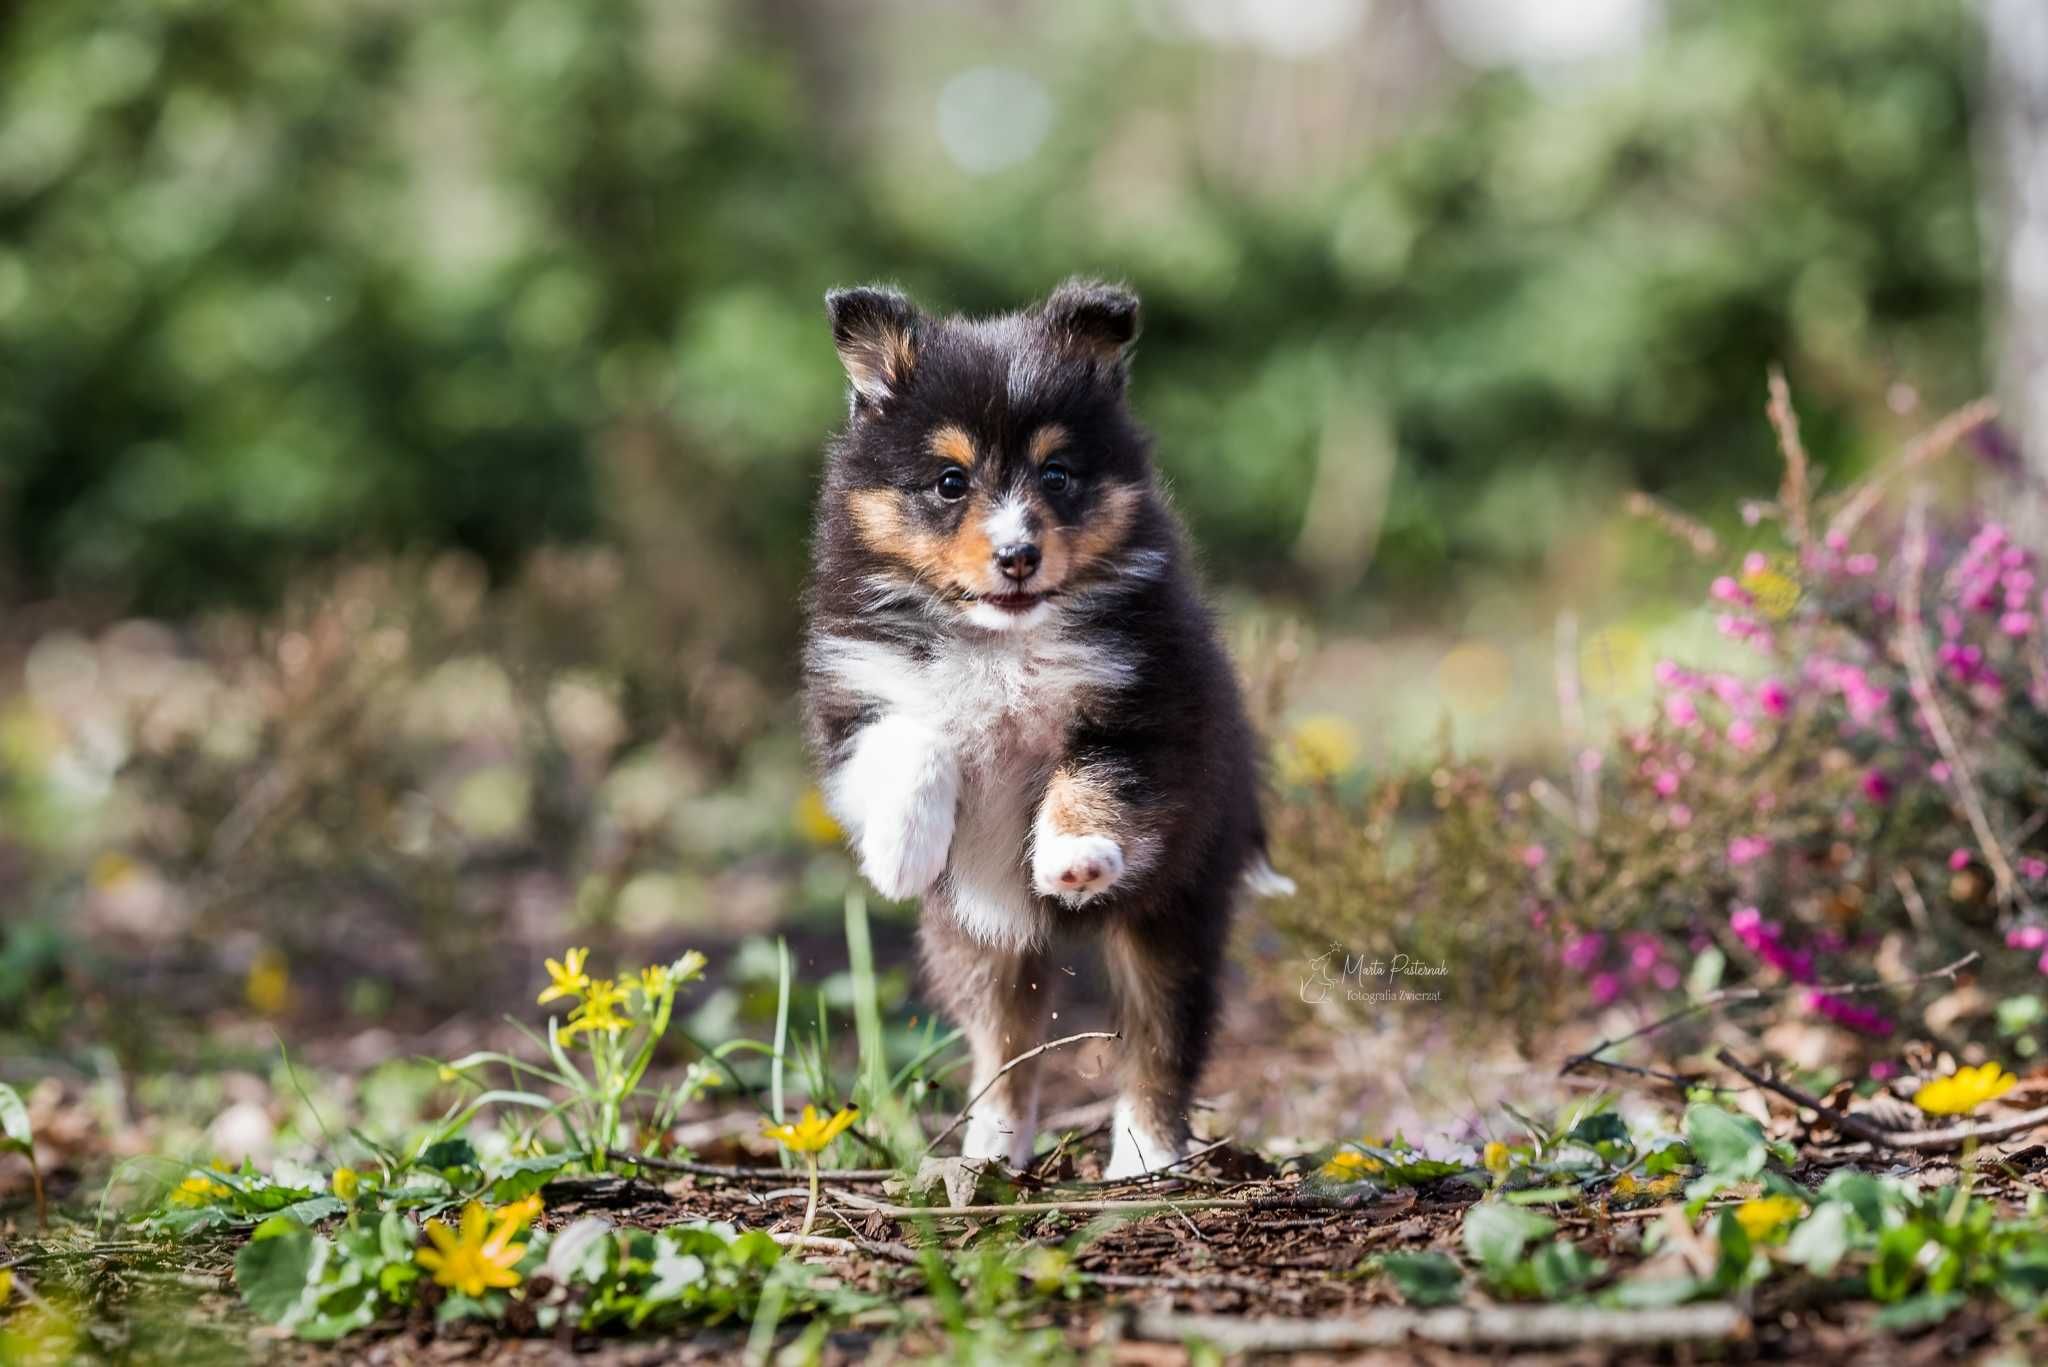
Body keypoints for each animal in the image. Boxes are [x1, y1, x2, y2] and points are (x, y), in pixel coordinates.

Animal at [802, 278, 1294, 1180]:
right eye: (950, 481)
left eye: (1058, 474)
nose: (1018, 555)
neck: (1004, 640)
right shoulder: (857, 695)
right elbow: (914, 735)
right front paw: (901, 850)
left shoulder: (1149, 706)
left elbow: (1090, 775)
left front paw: (1072, 855)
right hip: (980, 939)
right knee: (1005, 1048)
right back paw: (989, 1152)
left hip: (1173, 912)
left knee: (1160, 1043)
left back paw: (1143, 1158)